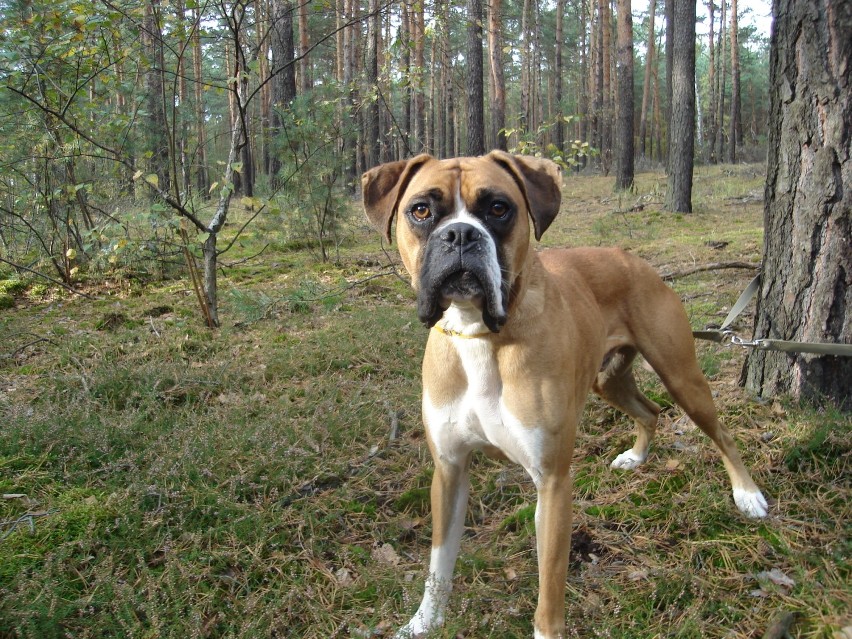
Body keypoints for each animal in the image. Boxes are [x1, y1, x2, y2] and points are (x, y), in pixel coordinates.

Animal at [362, 152, 768, 636]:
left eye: (498, 208)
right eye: (421, 210)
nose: (460, 234)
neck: (479, 332)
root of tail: (631, 259)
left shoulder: (552, 483)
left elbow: (550, 583)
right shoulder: (449, 471)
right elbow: (438, 563)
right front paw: (424, 621)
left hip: (682, 376)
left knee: (720, 433)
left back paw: (748, 495)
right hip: (607, 380)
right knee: (650, 411)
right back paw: (636, 457)